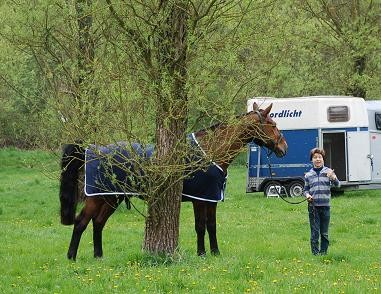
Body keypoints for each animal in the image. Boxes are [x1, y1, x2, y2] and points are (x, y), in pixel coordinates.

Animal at [58, 101, 284, 260]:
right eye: (272, 124)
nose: (284, 147)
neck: (210, 150)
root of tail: (90, 149)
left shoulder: (211, 199)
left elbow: (211, 225)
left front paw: (215, 253)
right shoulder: (200, 199)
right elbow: (200, 226)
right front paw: (202, 254)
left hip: (111, 197)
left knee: (98, 223)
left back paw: (99, 256)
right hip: (97, 197)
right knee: (81, 222)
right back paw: (72, 257)